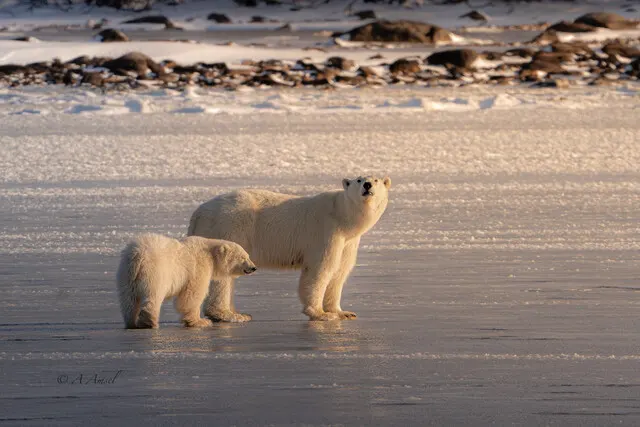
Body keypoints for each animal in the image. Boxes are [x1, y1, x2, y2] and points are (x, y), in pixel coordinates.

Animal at [116, 233, 257, 329]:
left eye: (248, 256)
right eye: (243, 257)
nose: (253, 268)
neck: (210, 253)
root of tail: (138, 255)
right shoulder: (198, 267)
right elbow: (192, 294)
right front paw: (201, 321)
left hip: (126, 274)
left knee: (128, 300)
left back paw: (131, 322)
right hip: (155, 271)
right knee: (153, 295)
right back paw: (149, 322)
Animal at [187, 175, 391, 322]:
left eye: (376, 180)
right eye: (359, 179)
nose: (367, 186)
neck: (342, 215)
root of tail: (198, 212)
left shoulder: (348, 242)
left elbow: (339, 271)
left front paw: (343, 312)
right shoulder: (326, 231)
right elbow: (321, 269)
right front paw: (320, 314)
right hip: (230, 225)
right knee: (224, 272)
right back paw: (230, 315)